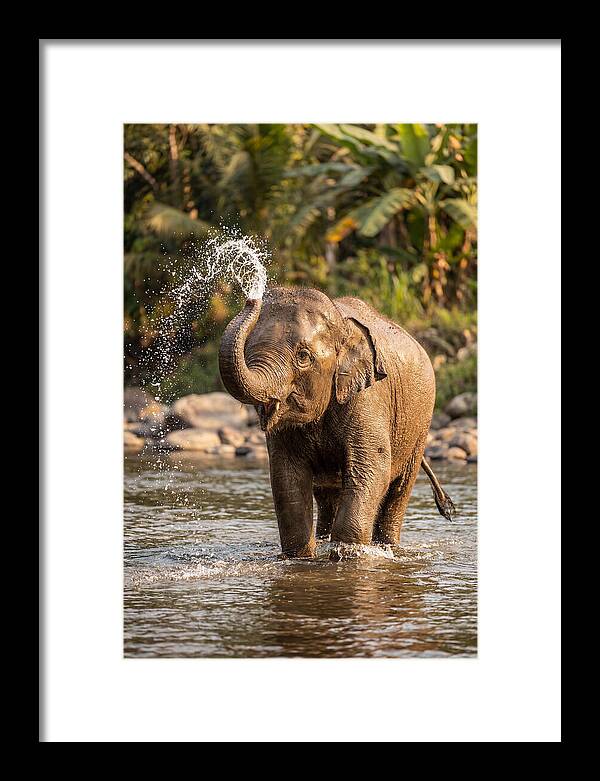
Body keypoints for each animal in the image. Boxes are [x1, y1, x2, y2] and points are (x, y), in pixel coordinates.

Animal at [219, 286, 455, 558]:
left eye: (303, 356)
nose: (251, 298)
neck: (342, 326)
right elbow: (286, 477)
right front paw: (302, 557)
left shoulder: (368, 397)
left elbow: (372, 468)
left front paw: (347, 554)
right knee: (327, 494)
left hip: (420, 425)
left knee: (399, 490)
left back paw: (388, 547)